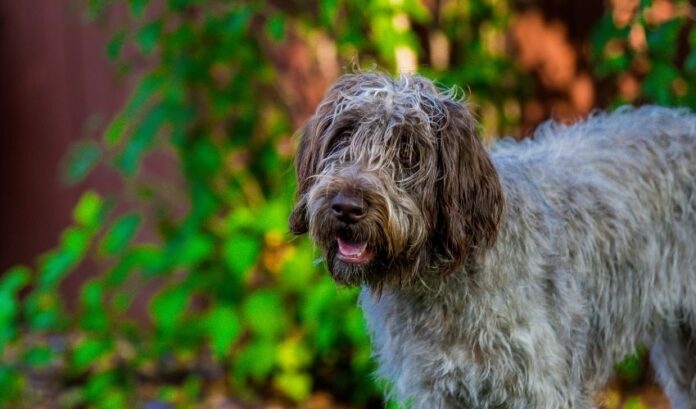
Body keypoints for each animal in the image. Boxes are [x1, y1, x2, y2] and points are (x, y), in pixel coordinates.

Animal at [288, 71, 696, 408]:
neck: (445, 279)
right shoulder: (439, 390)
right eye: (343, 135)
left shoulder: (541, 389)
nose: (346, 206)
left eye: (407, 151)